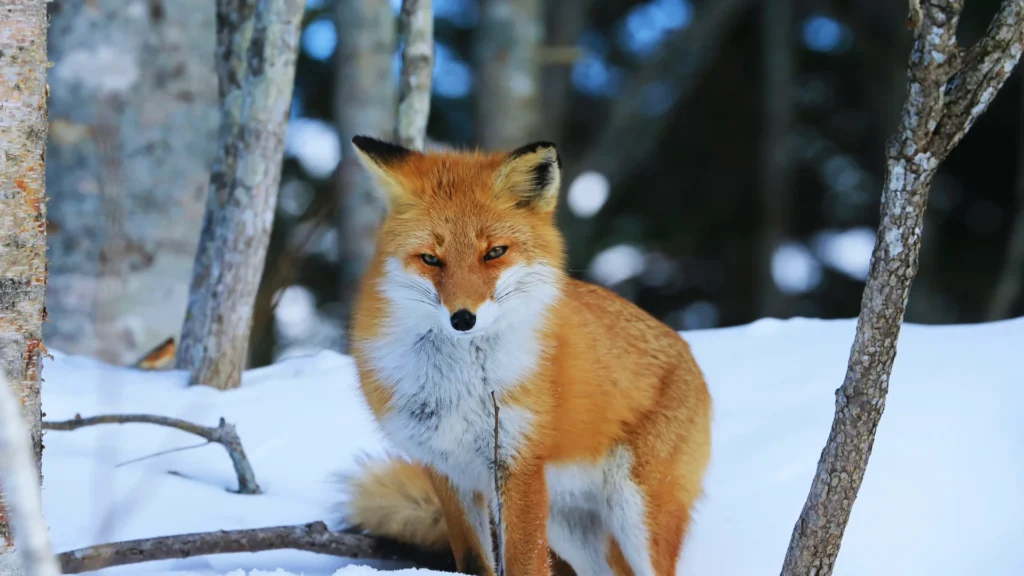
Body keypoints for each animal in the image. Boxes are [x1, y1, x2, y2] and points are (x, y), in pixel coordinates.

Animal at [341, 134, 712, 576]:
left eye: (494, 252)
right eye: (431, 258)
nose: (463, 318)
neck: (457, 386)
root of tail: (687, 349)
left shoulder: (519, 463)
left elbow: (524, 563)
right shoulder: (447, 469)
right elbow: (472, 560)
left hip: (635, 511)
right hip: (570, 526)